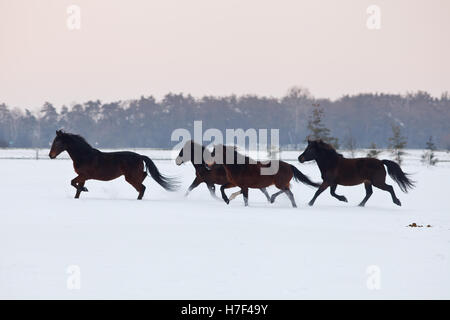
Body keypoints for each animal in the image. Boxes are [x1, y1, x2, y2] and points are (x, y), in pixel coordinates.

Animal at [47, 129, 178, 199]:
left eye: (58, 142)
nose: (50, 155)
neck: (84, 156)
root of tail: (140, 156)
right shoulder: (83, 177)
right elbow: (77, 190)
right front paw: (82, 190)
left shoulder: (84, 175)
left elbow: (73, 182)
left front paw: (85, 189)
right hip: (132, 177)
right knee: (143, 179)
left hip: (130, 178)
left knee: (142, 188)